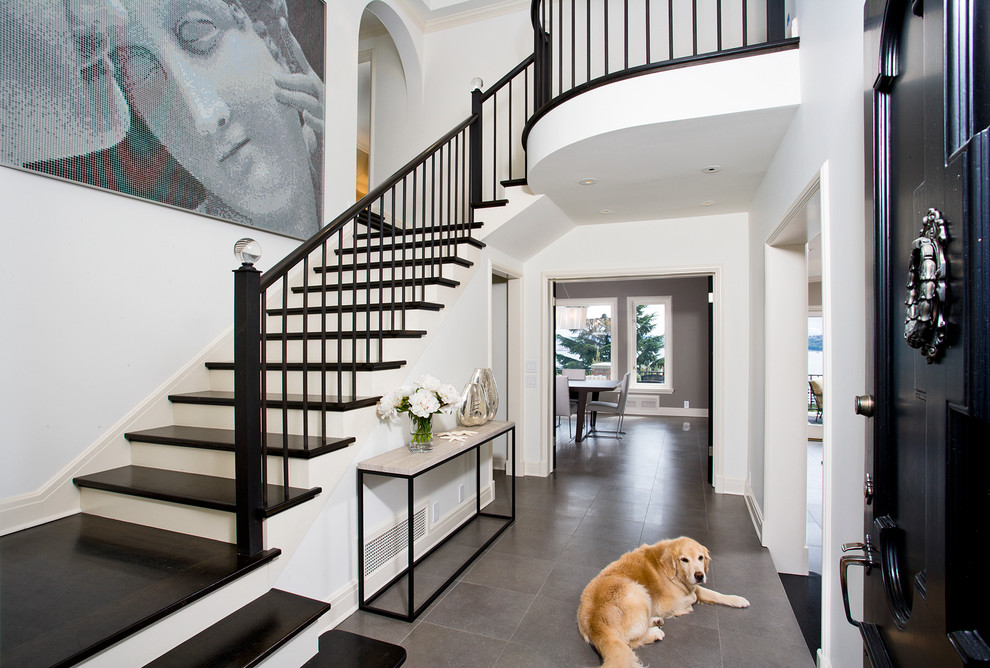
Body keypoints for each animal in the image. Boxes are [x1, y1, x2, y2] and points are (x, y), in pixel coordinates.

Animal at [576, 536, 748, 668]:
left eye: (701, 557)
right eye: (684, 560)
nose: (699, 575)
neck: (670, 570)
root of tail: (594, 623)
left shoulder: (693, 586)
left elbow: (715, 594)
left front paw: (738, 600)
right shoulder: (670, 602)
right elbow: (692, 597)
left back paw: (655, 621)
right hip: (639, 592)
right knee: (631, 641)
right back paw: (655, 633)